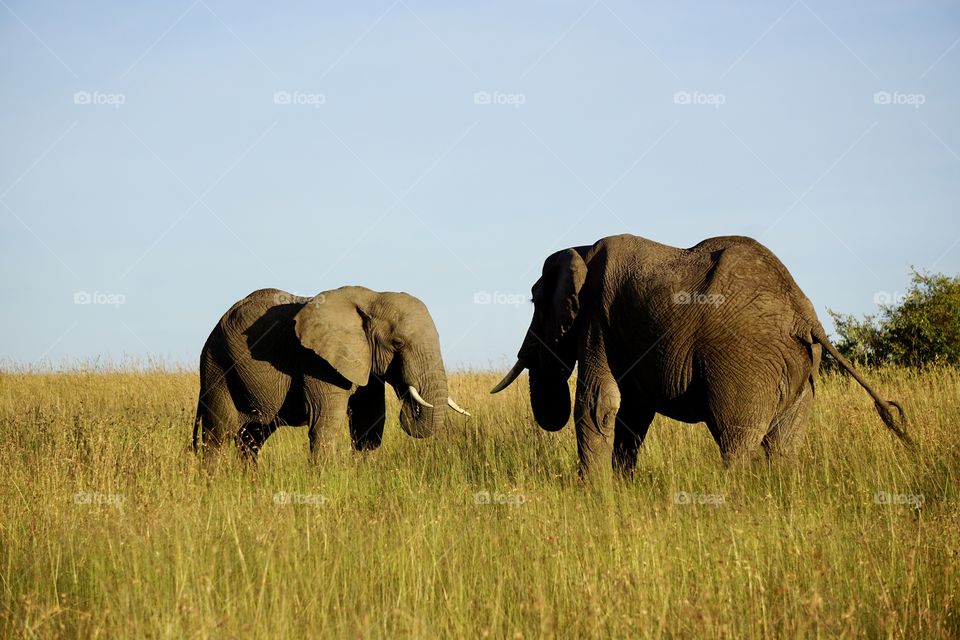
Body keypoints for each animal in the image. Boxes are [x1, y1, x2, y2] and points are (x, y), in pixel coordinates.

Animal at [193, 286, 469, 464]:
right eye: (398, 343)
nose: (410, 403)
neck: (372, 297)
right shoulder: (317, 361)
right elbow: (325, 423)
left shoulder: (364, 360)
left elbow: (369, 423)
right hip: (217, 367)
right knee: (217, 434)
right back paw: (213, 484)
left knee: (252, 438)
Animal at [491, 234, 911, 477]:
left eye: (535, 302)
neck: (581, 250)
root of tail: (804, 318)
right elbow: (632, 414)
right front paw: (622, 489)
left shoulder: (597, 318)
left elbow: (599, 404)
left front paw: (594, 494)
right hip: (801, 370)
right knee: (783, 446)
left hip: (745, 362)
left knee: (736, 442)